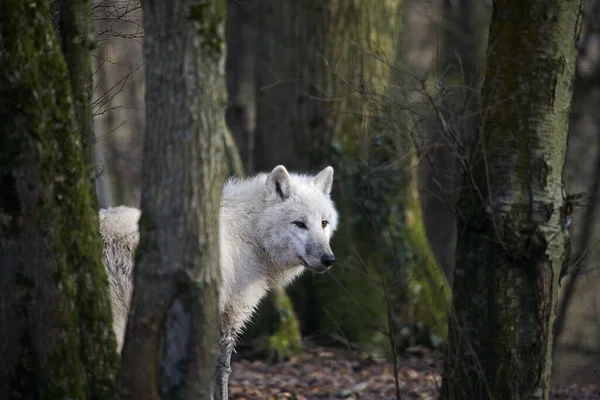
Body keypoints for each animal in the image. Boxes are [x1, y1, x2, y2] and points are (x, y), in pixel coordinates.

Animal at [98, 164, 338, 398]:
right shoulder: (230, 313)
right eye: (300, 224)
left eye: (324, 223)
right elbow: (221, 370)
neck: (251, 233)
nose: (328, 259)